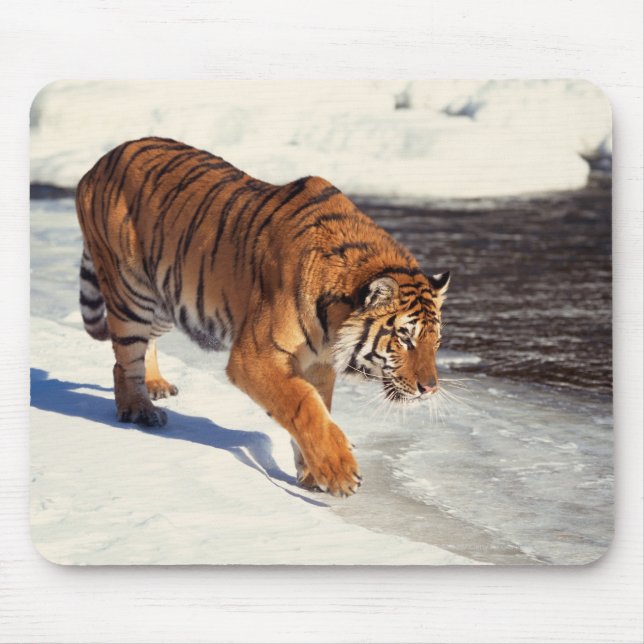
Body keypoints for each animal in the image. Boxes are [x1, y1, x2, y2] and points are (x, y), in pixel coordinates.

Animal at [75, 137, 450, 497]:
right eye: (404, 337)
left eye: (436, 341)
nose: (430, 388)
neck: (333, 322)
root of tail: (98, 163)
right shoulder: (254, 356)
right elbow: (303, 405)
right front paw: (339, 472)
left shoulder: (318, 363)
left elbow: (320, 407)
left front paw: (312, 474)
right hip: (130, 292)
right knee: (124, 359)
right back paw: (138, 409)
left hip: (168, 295)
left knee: (146, 344)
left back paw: (155, 385)